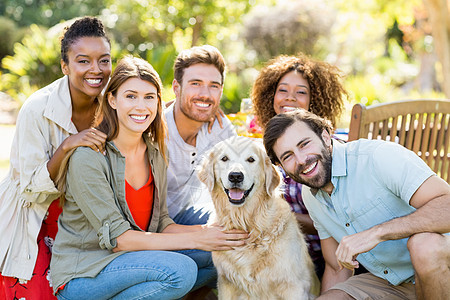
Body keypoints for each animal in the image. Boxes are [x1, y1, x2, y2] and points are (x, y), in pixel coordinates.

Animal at [199, 137, 318, 300]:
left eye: (251, 159)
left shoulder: (293, 286)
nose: (235, 176)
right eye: (224, 158)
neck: (248, 224)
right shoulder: (226, 283)